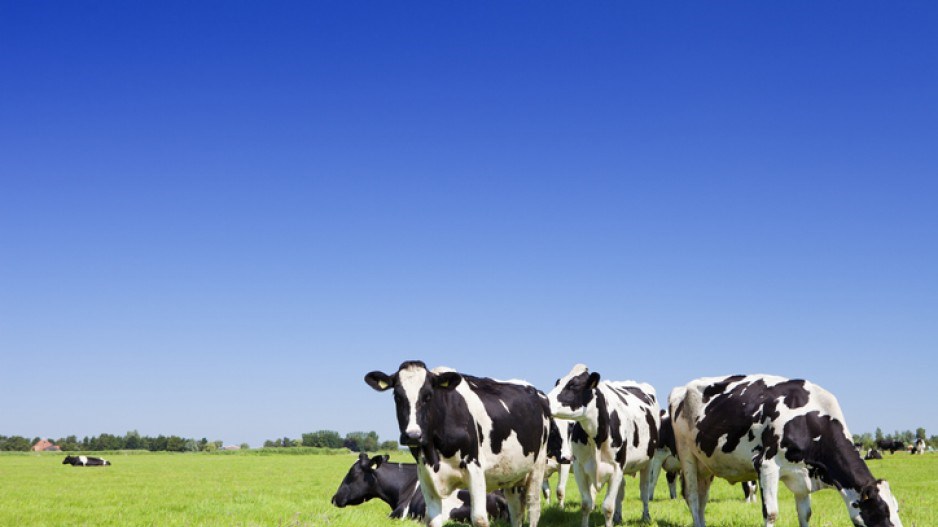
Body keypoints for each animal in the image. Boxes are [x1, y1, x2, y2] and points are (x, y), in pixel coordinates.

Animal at [364, 360, 548, 527]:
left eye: (428, 395)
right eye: (397, 396)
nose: (413, 436)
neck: (434, 453)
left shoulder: (475, 469)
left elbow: (479, 519)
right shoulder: (425, 475)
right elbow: (433, 520)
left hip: (537, 466)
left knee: (533, 507)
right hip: (511, 475)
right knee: (515, 510)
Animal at [540, 366, 660, 527]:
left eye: (573, 385)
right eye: (557, 383)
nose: (543, 401)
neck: (596, 437)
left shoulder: (615, 469)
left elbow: (607, 507)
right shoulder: (579, 467)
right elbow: (585, 504)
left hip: (648, 462)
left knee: (644, 490)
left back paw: (646, 517)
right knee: (621, 492)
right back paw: (618, 517)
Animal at [664, 376, 900, 527]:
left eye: (896, 509)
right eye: (880, 512)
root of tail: (681, 389)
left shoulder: (803, 476)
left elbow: (806, 514)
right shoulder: (766, 465)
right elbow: (771, 514)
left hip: (706, 465)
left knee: (702, 499)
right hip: (687, 456)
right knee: (693, 497)